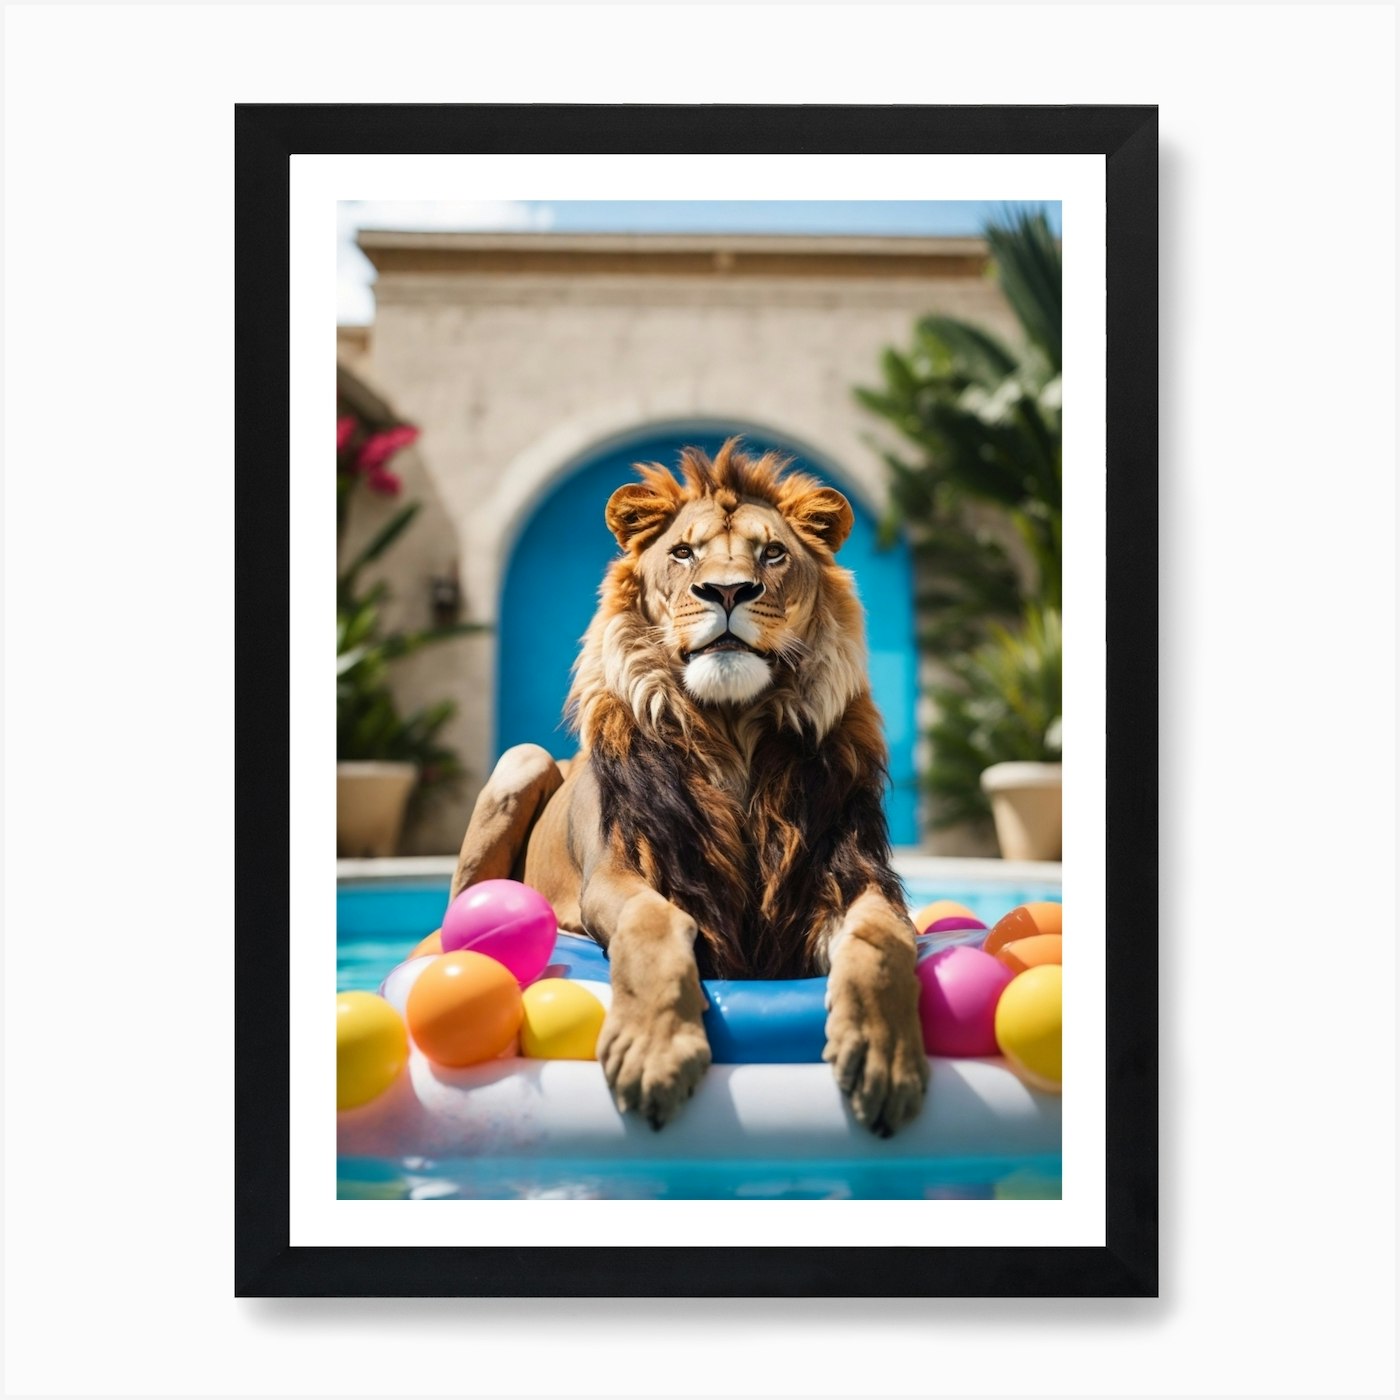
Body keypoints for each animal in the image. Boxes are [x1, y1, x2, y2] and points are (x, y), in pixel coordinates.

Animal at [450, 439, 927, 1135]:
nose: (727, 590)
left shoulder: (848, 876)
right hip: (523, 760)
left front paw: (884, 1056)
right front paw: (654, 1053)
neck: (731, 734)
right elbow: (653, 922)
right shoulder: (617, 874)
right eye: (683, 553)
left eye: (772, 553)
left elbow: (884, 938)